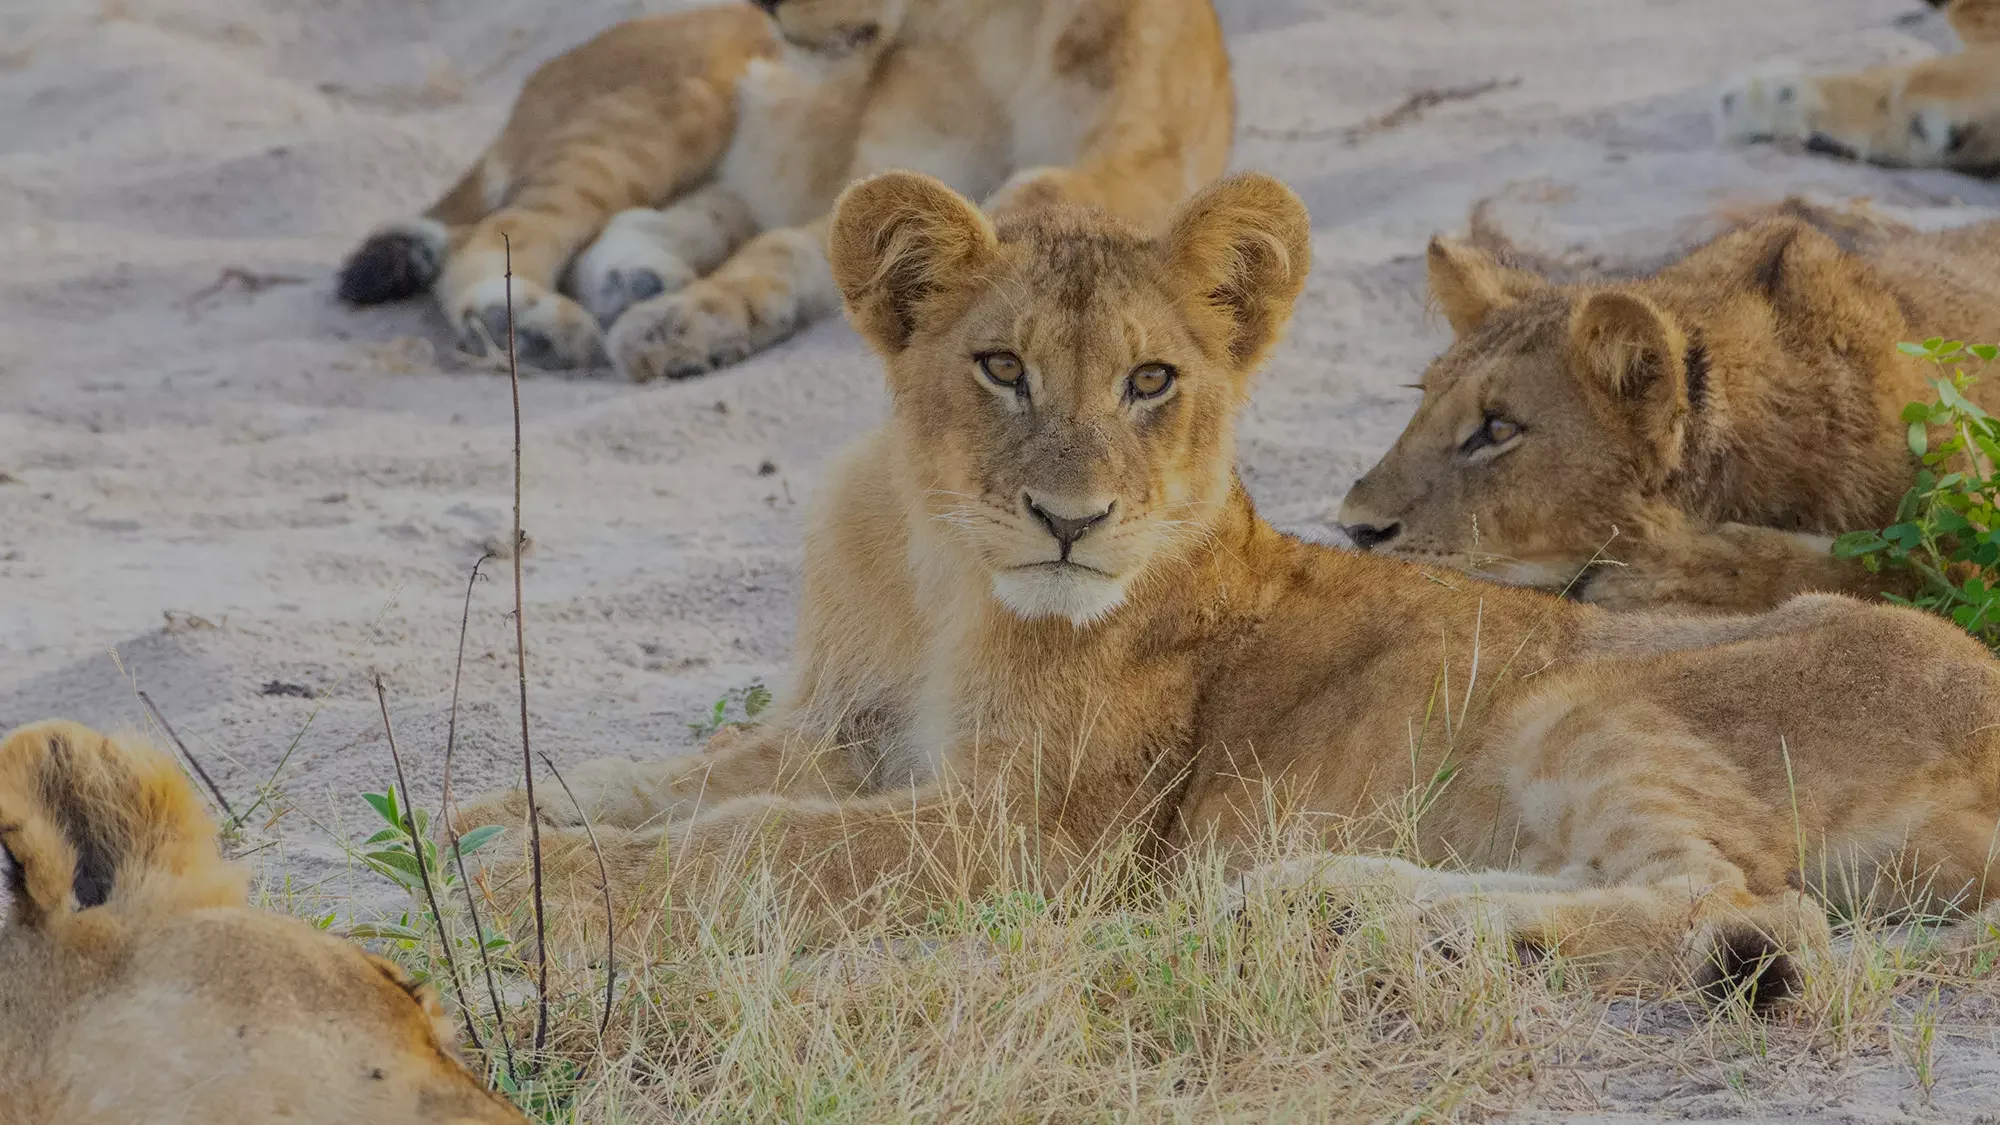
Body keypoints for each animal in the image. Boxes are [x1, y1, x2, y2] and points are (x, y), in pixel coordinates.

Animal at [337, 0, 1232, 381]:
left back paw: (636, 282)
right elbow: (785, 256)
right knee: (500, 228)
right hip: (661, 109)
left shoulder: (1137, 168)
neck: (989, 33)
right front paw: (685, 324)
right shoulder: (877, 184)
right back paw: (526, 320)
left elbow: (1036, 201)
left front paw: (682, 323)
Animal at [1335, 201, 2000, 612]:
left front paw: (1652, 577)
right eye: (1423, 400)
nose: (1353, 529)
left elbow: (1877, 565)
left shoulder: (1966, 540)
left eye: (1498, 428)